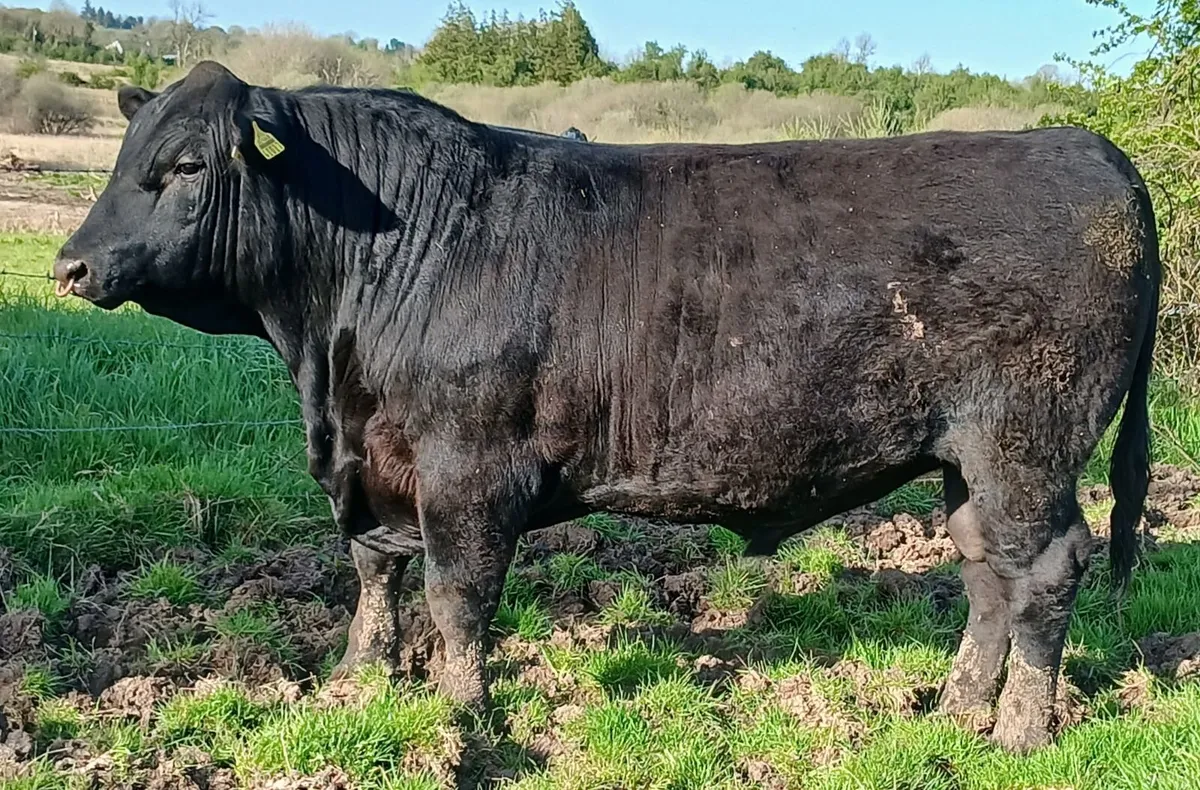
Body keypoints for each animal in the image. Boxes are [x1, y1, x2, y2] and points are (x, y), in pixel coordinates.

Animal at [52, 62, 1159, 753]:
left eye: (187, 165)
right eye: (125, 155)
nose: (72, 264)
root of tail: (1083, 145)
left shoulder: (469, 469)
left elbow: (458, 596)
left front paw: (464, 717)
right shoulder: (373, 458)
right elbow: (374, 574)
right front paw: (359, 684)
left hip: (1026, 445)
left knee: (1045, 570)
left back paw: (1018, 730)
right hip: (965, 460)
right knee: (985, 574)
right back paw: (954, 714)